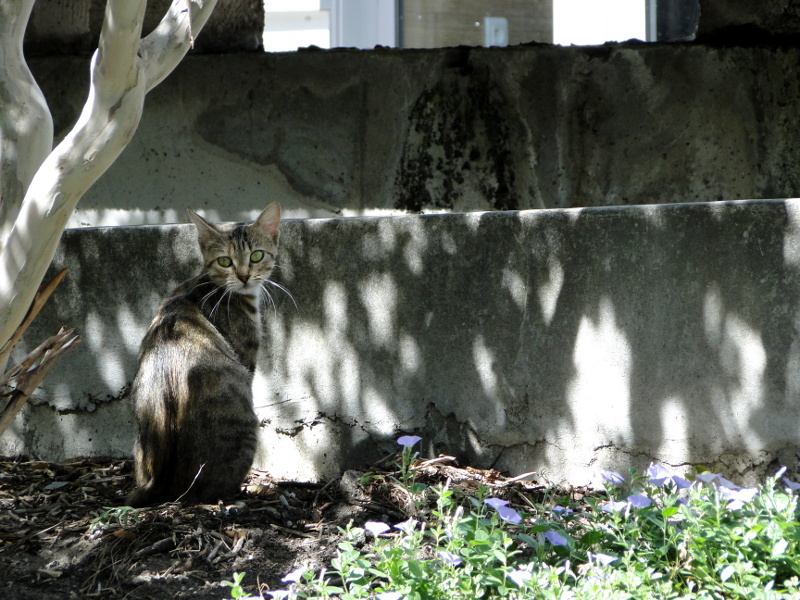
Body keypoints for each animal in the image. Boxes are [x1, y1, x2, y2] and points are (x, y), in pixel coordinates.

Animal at [127, 203, 282, 506]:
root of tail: (158, 483)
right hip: (245, 427)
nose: (244, 276)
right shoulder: (246, 357)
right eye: (225, 261)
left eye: (257, 255)